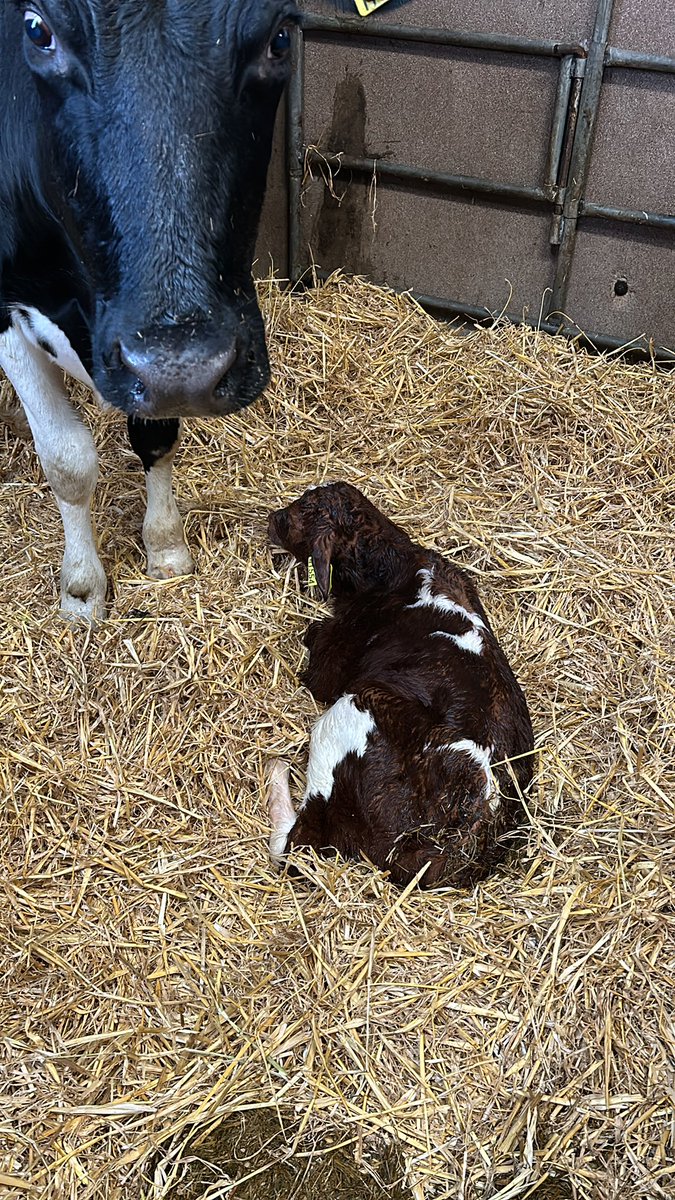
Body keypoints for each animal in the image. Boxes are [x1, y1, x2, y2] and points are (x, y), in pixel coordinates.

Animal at [0, 1, 299, 620]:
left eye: (280, 37)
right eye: (37, 30)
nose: (183, 364)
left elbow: (156, 437)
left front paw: (165, 545)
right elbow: (67, 459)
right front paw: (82, 587)